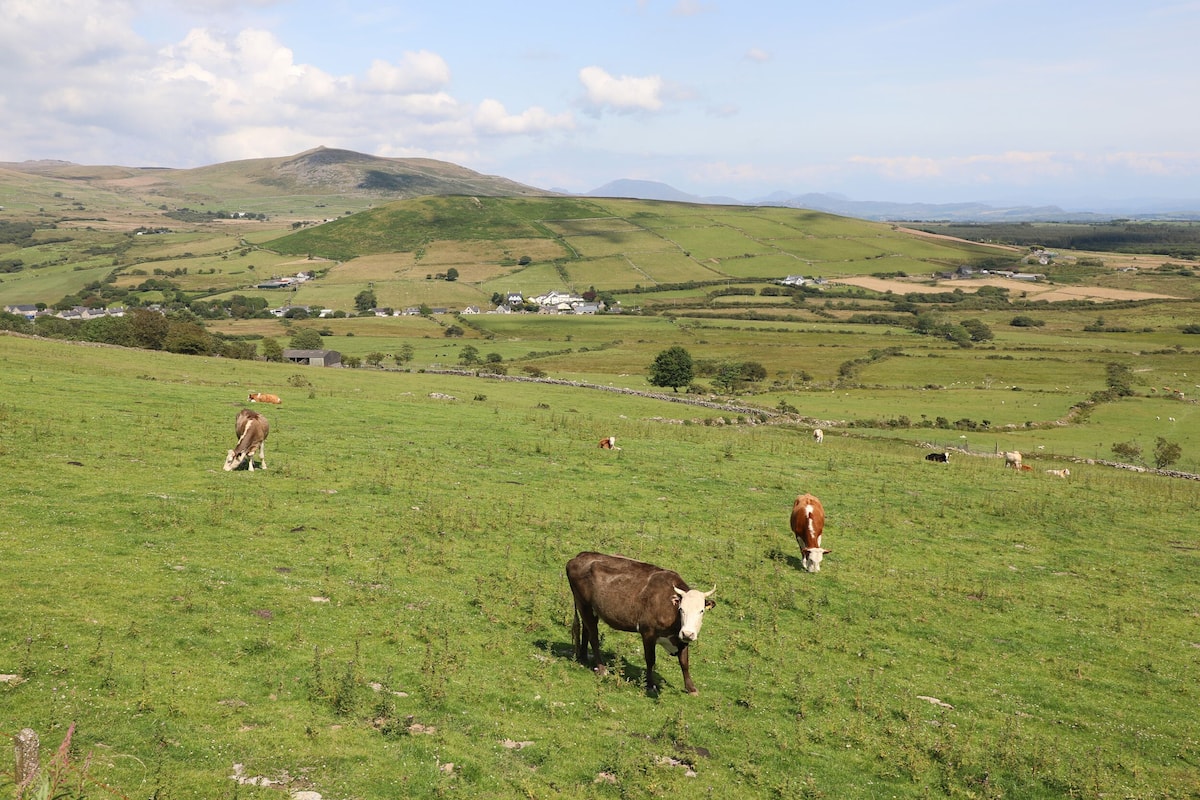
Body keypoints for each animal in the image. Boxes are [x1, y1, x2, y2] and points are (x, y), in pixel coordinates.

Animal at [566, 552, 716, 695]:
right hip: (584, 605)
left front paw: (691, 688)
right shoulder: (648, 632)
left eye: (701, 611)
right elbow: (650, 660)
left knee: (586, 631)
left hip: (590, 609)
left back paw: (584, 658)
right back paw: (602, 669)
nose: (688, 633)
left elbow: (684, 662)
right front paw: (650, 685)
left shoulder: (681, 639)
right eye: (681, 609)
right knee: (594, 637)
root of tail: (580, 556)